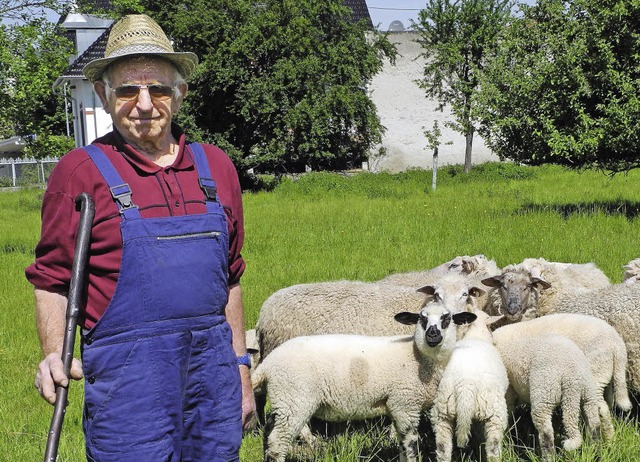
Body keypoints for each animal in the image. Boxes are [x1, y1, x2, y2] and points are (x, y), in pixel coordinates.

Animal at [250, 302, 476, 462]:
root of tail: (267, 364)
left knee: (269, 433)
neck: (418, 358)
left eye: (447, 318)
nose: (433, 334)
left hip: (284, 401)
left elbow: (402, 446)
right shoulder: (405, 404)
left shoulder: (397, 406)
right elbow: (410, 446)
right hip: (295, 399)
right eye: (421, 318)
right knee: (278, 442)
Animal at [430, 308, 510, 462]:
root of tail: (466, 383)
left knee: (443, 447)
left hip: (443, 411)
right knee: (493, 447)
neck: (476, 335)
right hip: (494, 411)